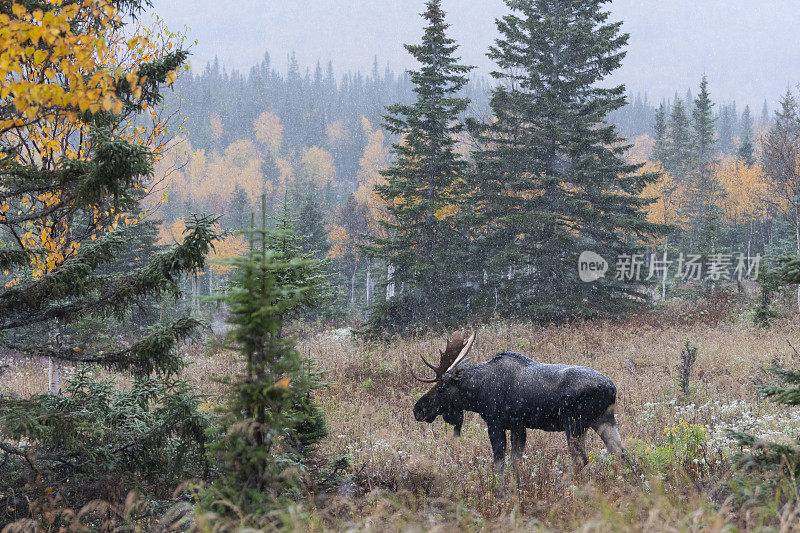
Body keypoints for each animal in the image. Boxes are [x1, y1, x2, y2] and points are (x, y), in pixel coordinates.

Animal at [412, 332, 632, 490]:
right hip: (603, 420)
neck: (478, 392)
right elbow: (515, 460)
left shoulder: (495, 423)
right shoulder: (518, 426)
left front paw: (499, 493)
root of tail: (611, 388)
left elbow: (499, 461)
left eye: (442, 387)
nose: (418, 409)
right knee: (621, 453)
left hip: (574, 422)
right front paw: (518, 489)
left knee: (581, 459)